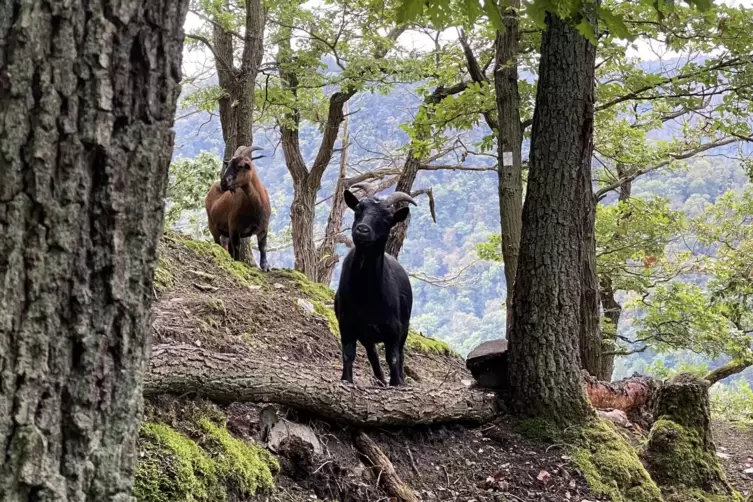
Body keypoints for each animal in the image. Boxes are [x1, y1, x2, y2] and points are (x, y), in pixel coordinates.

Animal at [334, 182, 418, 386]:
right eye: (358, 210)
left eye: (387, 218)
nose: (362, 230)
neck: (366, 292)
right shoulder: (347, 323)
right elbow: (348, 354)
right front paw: (346, 379)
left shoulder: (393, 329)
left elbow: (393, 357)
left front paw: (397, 383)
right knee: (372, 353)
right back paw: (380, 378)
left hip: (404, 327)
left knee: (400, 355)